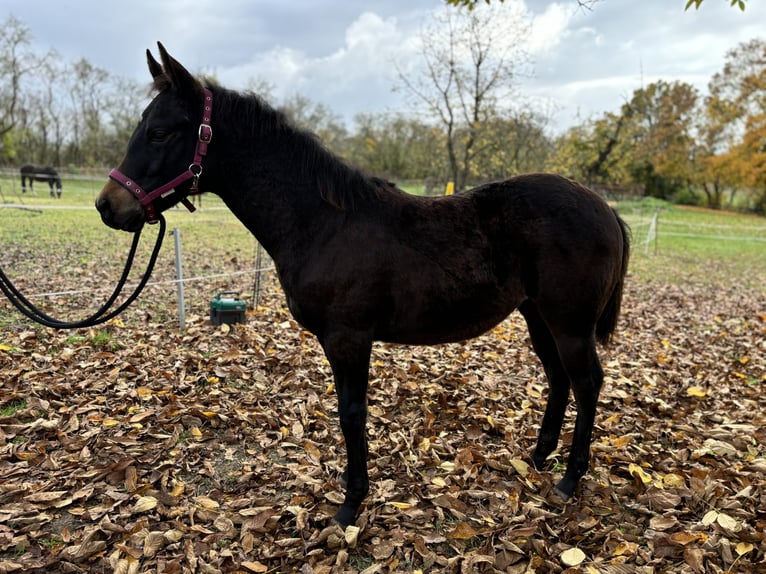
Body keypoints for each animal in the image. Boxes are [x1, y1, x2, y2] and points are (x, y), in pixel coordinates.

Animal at [96, 44, 632, 532]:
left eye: (160, 131)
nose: (108, 206)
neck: (323, 222)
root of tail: (604, 208)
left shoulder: (348, 339)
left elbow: (351, 415)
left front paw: (350, 505)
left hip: (570, 324)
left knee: (587, 383)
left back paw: (569, 480)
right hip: (538, 316)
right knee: (559, 380)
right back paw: (539, 459)